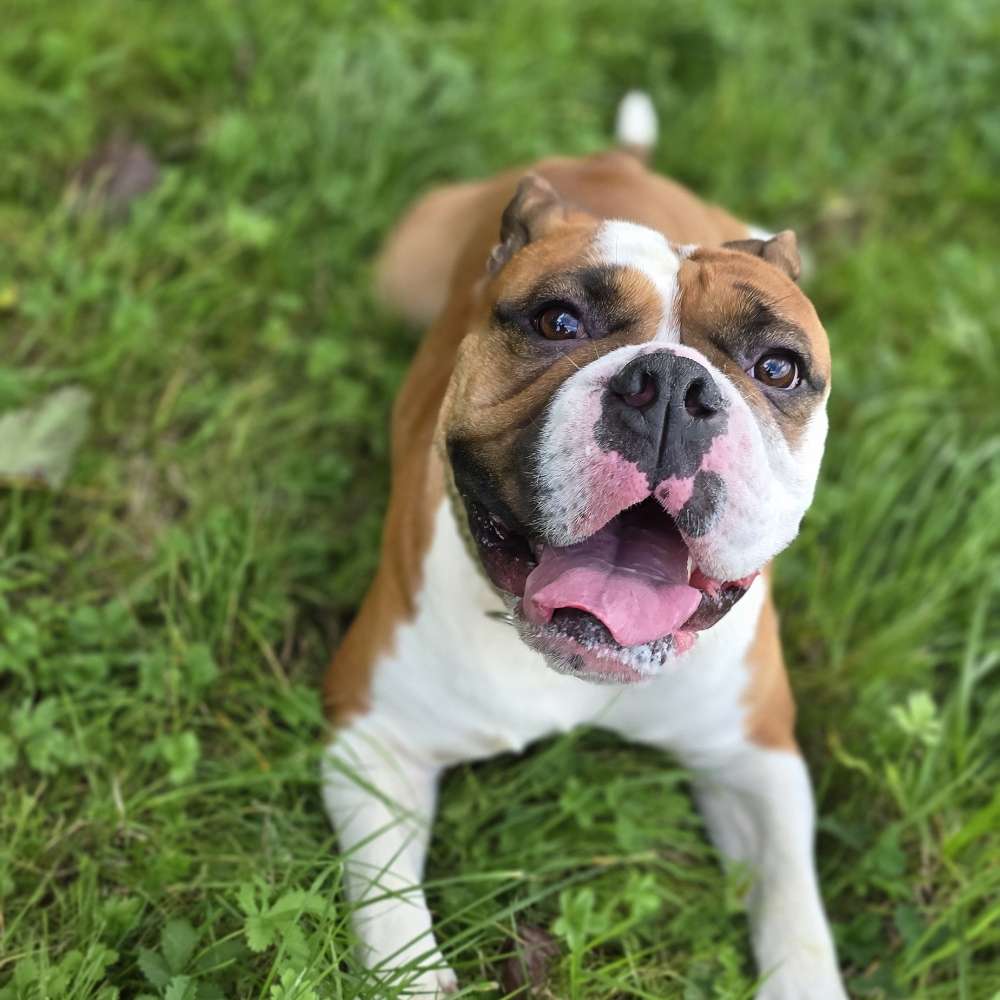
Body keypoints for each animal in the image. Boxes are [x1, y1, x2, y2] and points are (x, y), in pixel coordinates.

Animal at [318, 92, 844, 992]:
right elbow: (389, 904)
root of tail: (609, 161)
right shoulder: (372, 734)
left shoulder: (757, 757)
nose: (671, 385)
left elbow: (792, 902)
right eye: (558, 321)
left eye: (777, 367)